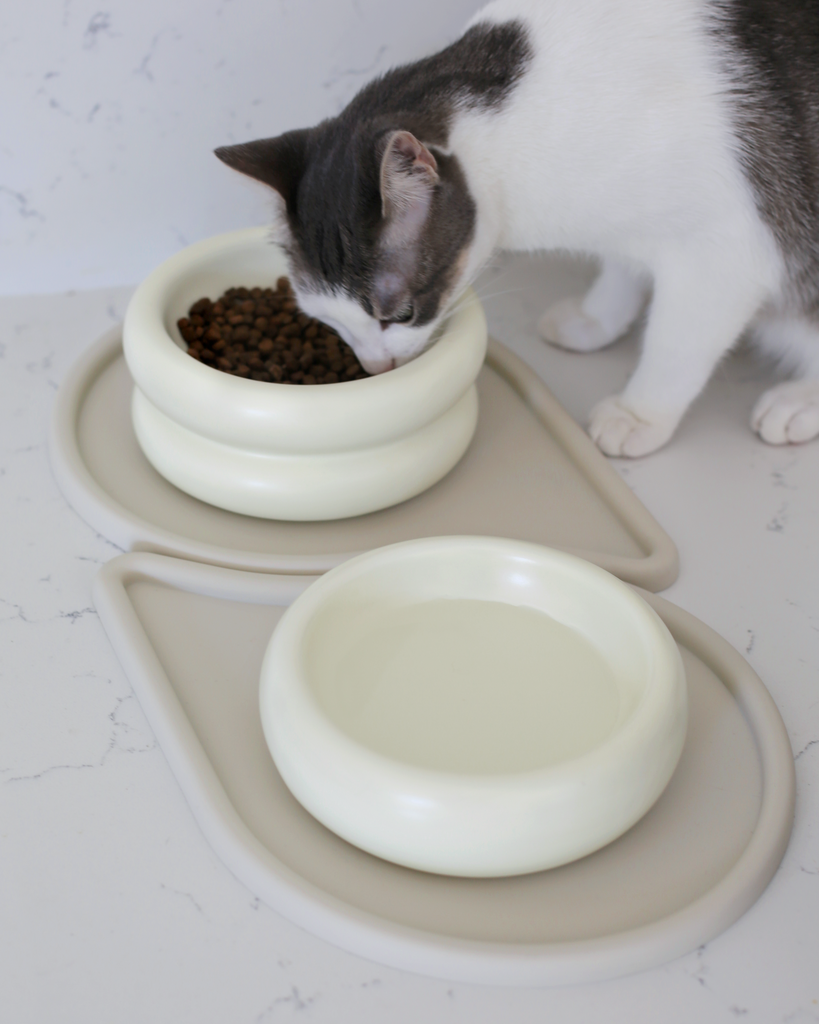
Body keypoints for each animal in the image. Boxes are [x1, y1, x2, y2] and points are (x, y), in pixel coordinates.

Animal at [213, 0, 818, 456]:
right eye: (324, 320)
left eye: (401, 314)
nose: (375, 365)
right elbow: (623, 268)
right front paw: (598, 318)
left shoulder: (724, 251)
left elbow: (675, 343)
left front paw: (639, 412)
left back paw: (798, 402)